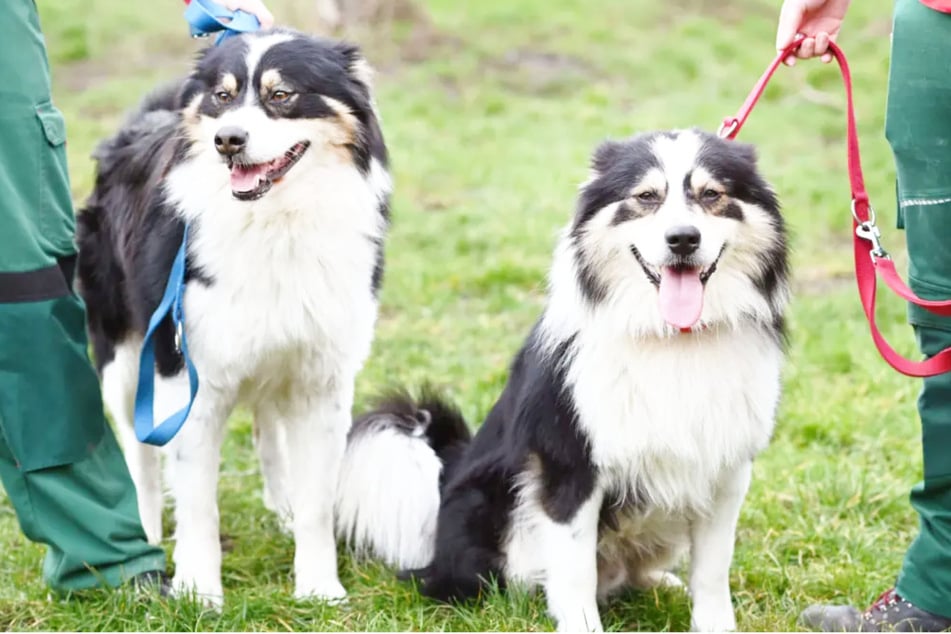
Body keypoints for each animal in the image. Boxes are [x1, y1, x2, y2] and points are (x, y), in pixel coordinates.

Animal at [75, 28, 390, 604]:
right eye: (221, 98)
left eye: (281, 95)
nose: (228, 141)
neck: (274, 222)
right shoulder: (185, 377)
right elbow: (198, 501)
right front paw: (198, 592)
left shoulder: (321, 379)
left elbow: (317, 500)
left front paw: (319, 588)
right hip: (125, 358)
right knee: (139, 454)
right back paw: (144, 534)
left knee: (268, 432)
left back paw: (281, 510)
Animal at [338, 127, 792, 628]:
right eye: (646, 197)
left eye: (711, 195)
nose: (682, 239)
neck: (670, 338)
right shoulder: (569, 464)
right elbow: (575, 570)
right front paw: (581, 625)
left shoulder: (726, 470)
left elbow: (713, 568)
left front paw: (714, 624)